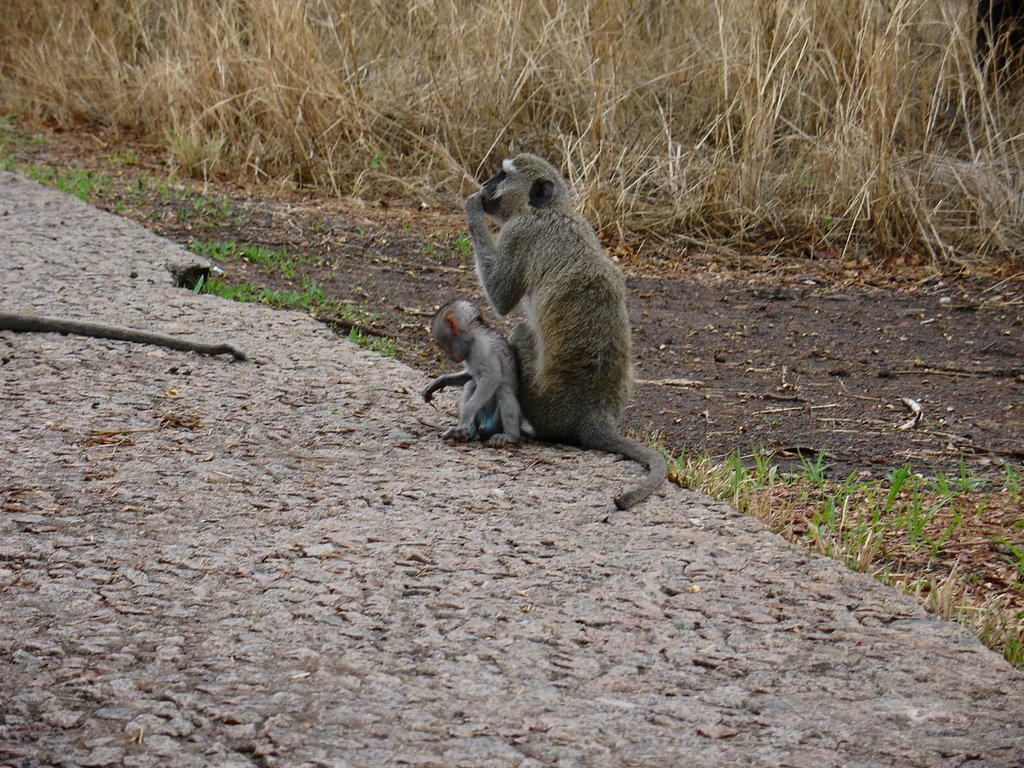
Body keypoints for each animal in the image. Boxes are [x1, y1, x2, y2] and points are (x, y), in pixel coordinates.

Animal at [421, 296, 520, 448]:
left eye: (442, 345)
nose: (450, 357)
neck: (472, 339)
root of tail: (485, 425)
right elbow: (469, 376)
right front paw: (438, 382)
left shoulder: (482, 348)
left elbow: (492, 377)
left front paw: (467, 414)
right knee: (471, 384)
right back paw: (468, 431)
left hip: (496, 422)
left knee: (503, 388)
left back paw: (510, 436)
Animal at [466, 154, 671, 512]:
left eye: (503, 175)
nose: (485, 185)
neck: (549, 209)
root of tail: (593, 415)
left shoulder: (519, 232)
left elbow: (502, 301)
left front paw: (472, 208)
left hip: (544, 405)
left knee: (520, 332)